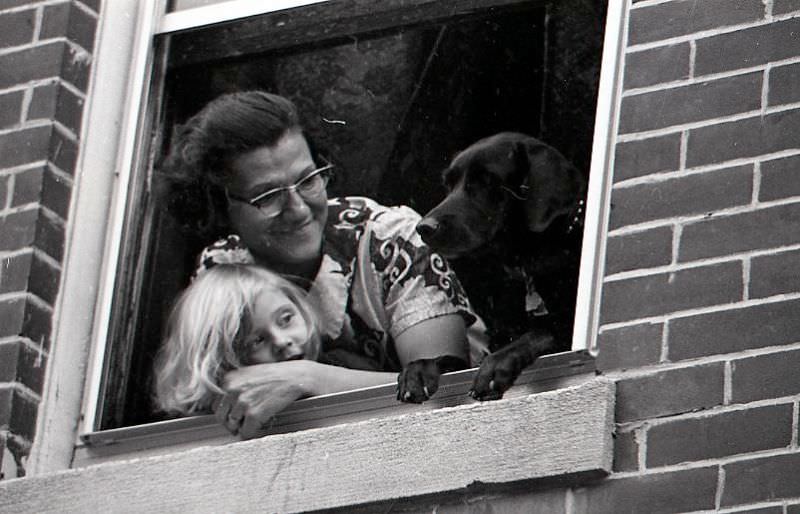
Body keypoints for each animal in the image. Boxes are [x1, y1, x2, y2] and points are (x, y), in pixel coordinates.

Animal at [412, 132, 588, 400]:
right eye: (449, 184)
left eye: (486, 181)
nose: (423, 228)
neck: (526, 264)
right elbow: (453, 360)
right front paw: (420, 368)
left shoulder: (564, 327)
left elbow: (540, 331)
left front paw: (495, 365)